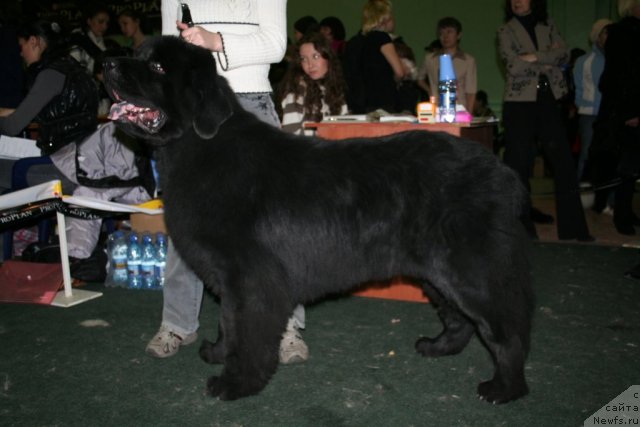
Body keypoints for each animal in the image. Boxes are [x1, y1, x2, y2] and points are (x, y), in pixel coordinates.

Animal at [105, 36, 532, 404]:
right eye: (138, 54)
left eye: (157, 66)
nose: (109, 64)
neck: (199, 148)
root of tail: (501, 170)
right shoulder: (229, 278)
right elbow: (228, 321)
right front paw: (217, 351)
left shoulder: (252, 278)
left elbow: (247, 332)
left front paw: (236, 383)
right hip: (436, 272)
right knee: (460, 319)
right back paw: (438, 347)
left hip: (470, 270)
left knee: (506, 329)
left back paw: (504, 388)